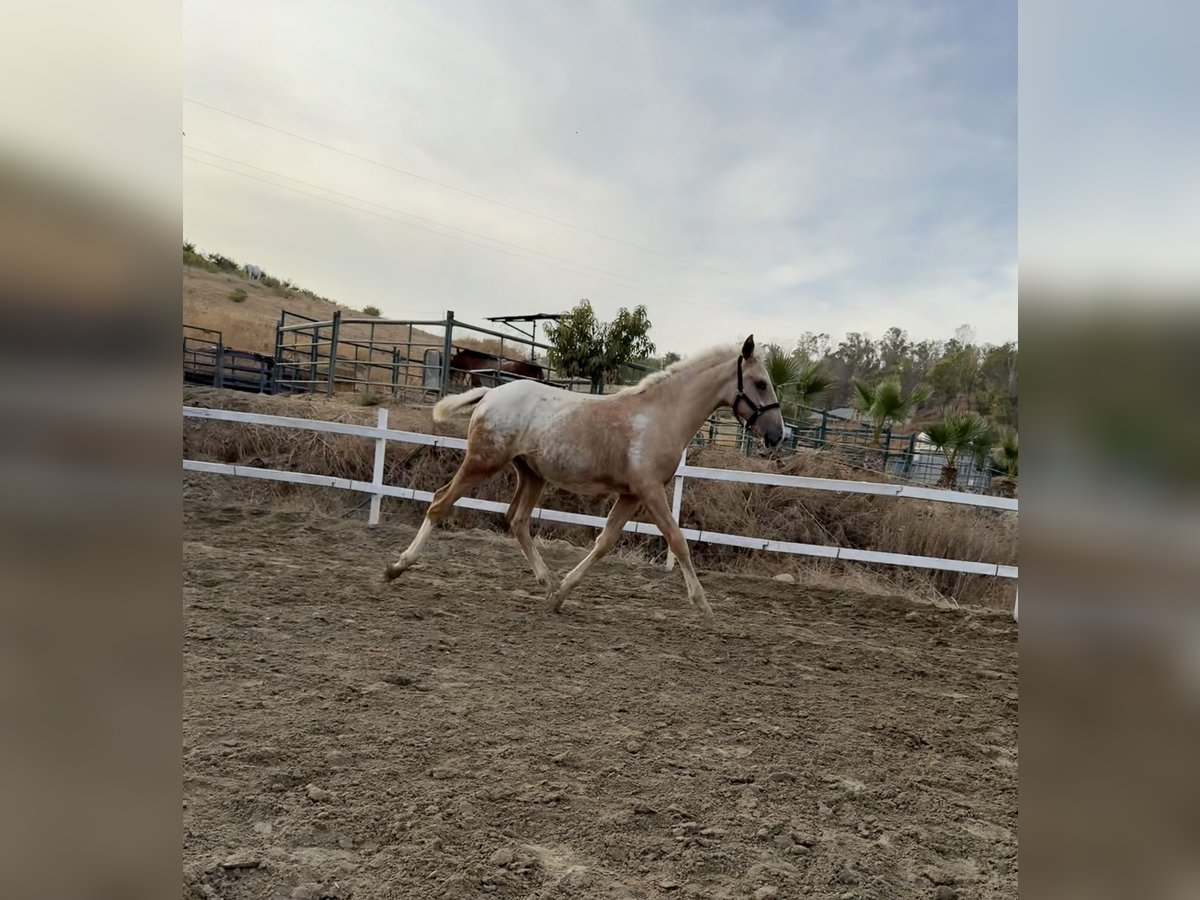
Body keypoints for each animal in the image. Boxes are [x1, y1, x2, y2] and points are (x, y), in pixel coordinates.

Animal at [385, 335, 783, 621]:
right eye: (761, 383)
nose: (777, 436)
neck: (660, 415)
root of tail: (490, 392)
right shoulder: (650, 491)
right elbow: (678, 541)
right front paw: (704, 606)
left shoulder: (631, 495)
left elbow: (605, 542)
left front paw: (562, 594)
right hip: (483, 462)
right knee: (440, 503)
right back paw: (396, 567)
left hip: (531, 474)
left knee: (517, 519)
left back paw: (547, 584)